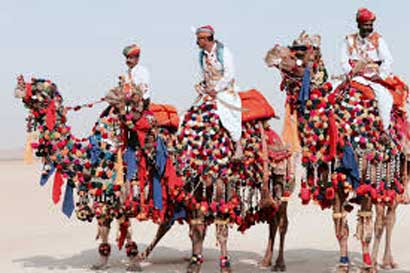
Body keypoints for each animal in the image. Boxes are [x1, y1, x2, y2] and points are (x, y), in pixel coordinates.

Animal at [264, 32, 408, 272]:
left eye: (300, 52)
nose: (271, 52)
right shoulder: (336, 180)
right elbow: (341, 227)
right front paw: (343, 264)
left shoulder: (364, 178)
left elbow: (366, 228)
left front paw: (367, 265)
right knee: (382, 216)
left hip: (398, 173)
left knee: (387, 217)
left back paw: (385, 261)